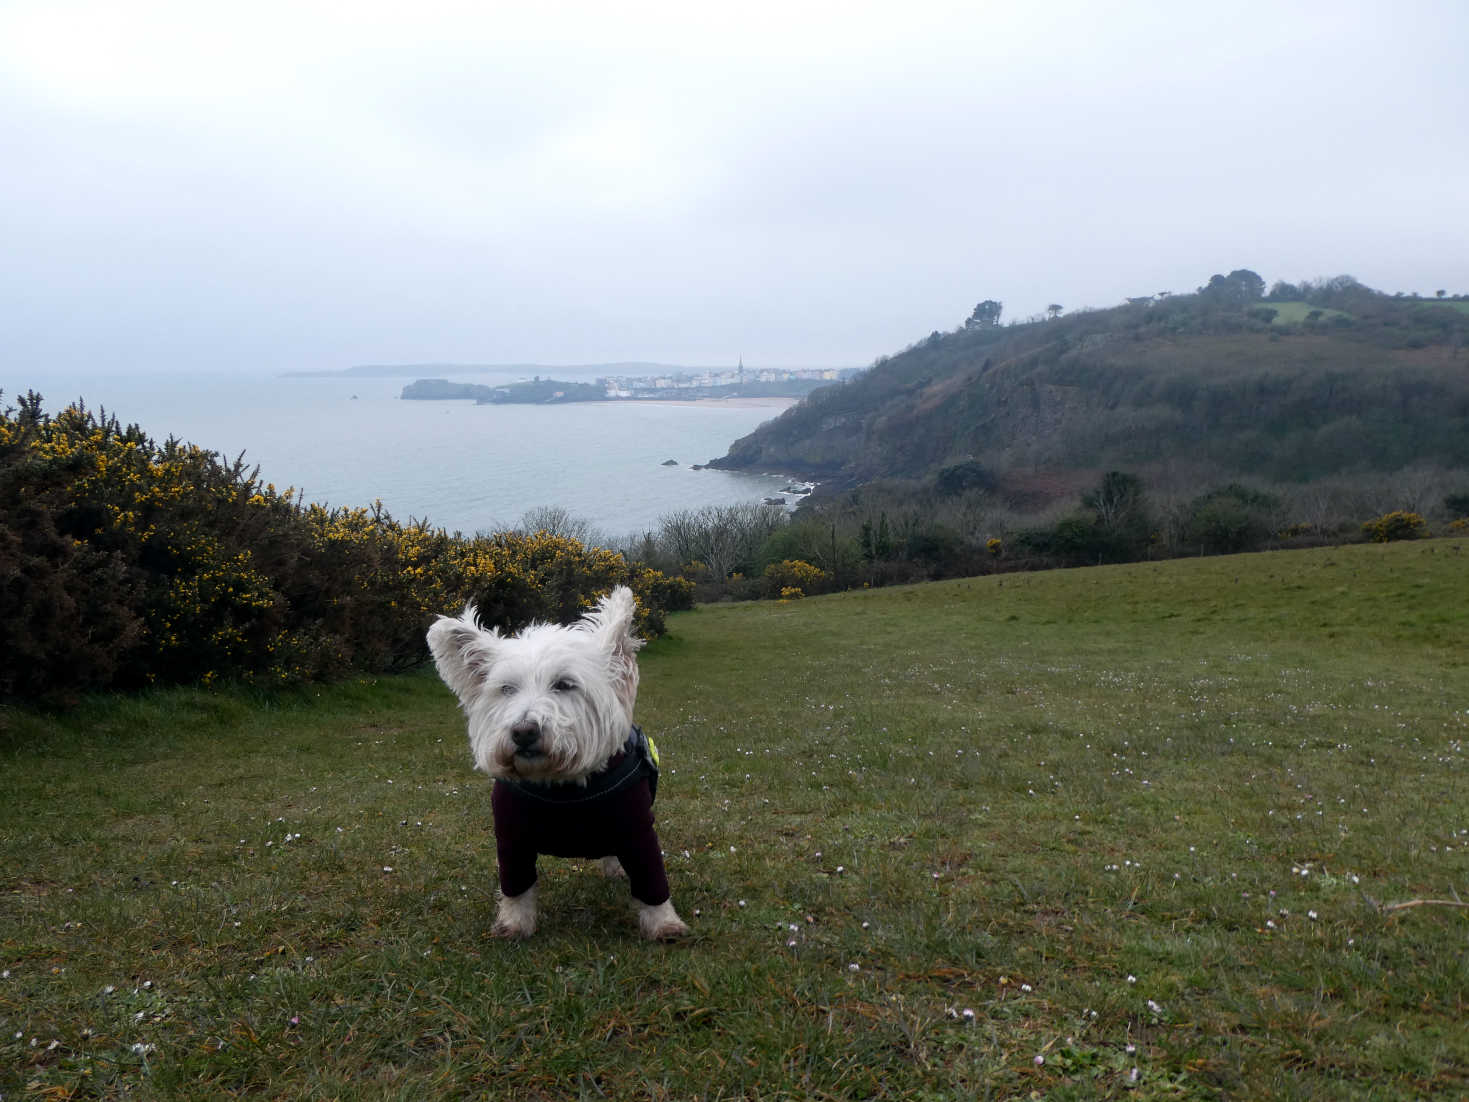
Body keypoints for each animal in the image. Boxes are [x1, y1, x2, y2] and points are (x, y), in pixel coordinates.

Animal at [426, 587, 687, 940]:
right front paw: (513, 923)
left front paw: (664, 923)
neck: (562, 790)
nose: (523, 732)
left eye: (564, 684)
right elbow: (515, 887)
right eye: (506, 689)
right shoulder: (511, 839)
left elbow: (651, 879)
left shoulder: (636, 829)